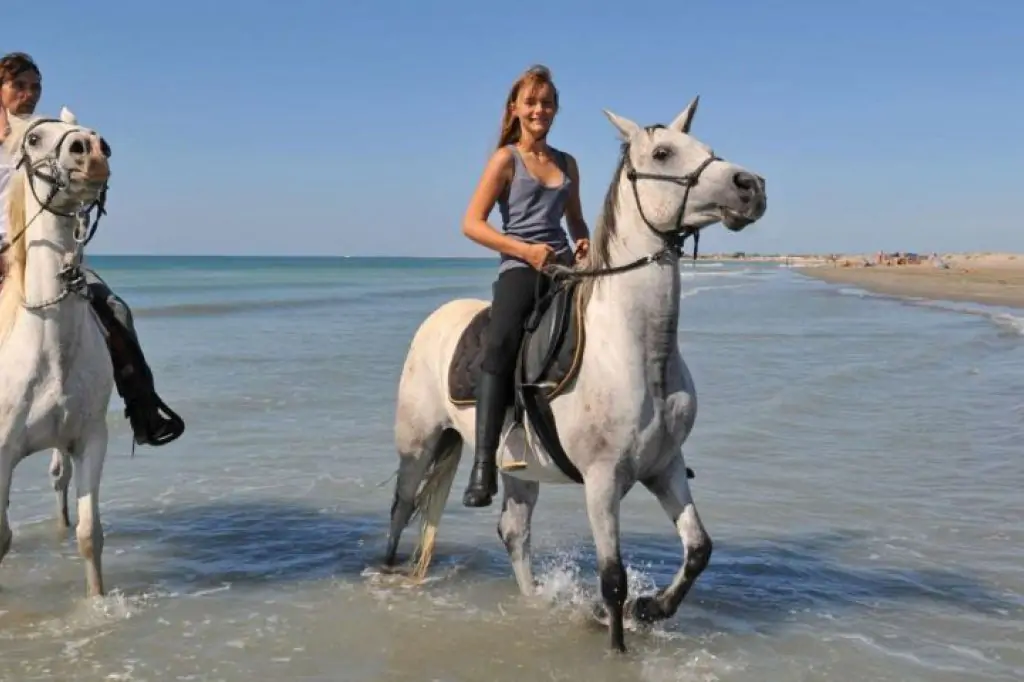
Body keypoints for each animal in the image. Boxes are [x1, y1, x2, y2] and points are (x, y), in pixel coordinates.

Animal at [385, 96, 770, 647]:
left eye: (706, 146)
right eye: (663, 152)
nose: (751, 186)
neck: (635, 351)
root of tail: (436, 318)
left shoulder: (665, 466)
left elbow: (699, 548)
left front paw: (652, 608)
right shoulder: (602, 480)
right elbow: (612, 579)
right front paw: (619, 641)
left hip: (518, 467)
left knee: (513, 532)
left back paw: (534, 602)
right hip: (418, 443)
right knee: (401, 508)